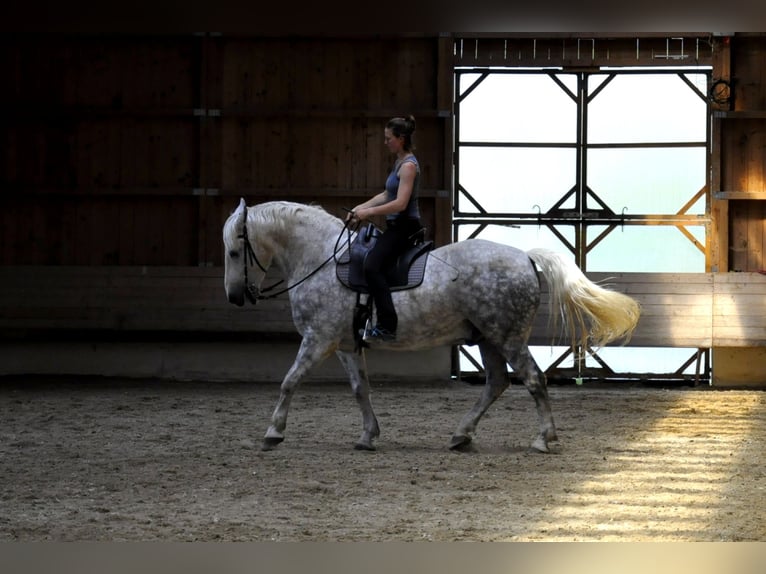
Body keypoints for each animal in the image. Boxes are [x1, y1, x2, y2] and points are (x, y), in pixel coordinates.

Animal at [223, 198, 640, 453]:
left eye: (234, 251)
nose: (235, 297)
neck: (321, 258)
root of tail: (525, 257)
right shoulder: (345, 345)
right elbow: (361, 389)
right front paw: (368, 436)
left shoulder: (318, 339)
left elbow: (289, 380)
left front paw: (273, 432)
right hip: (488, 339)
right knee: (497, 383)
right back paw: (461, 435)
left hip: (507, 338)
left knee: (534, 380)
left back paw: (542, 439)